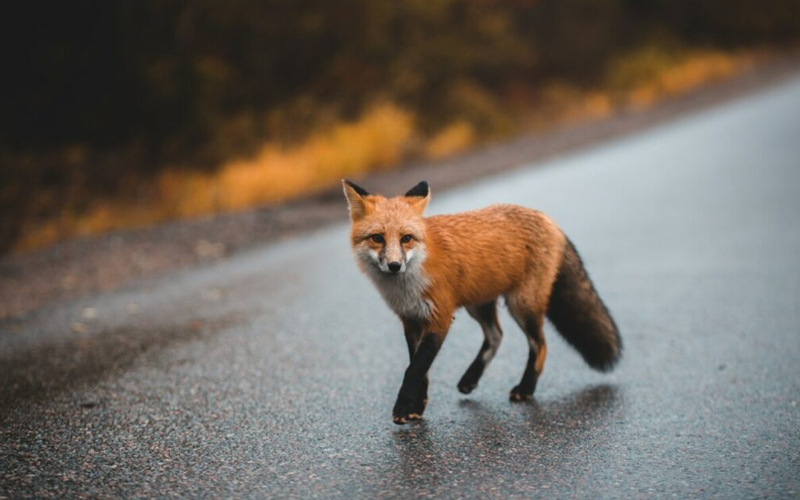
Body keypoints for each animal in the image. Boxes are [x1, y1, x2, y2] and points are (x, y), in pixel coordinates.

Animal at [340, 178, 620, 424]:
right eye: (377, 238)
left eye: (406, 238)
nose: (394, 265)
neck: (410, 281)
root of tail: (547, 219)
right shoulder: (411, 319)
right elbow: (420, 369)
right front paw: (417, 407)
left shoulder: (440, 318)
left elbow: (414, 369)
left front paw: (403, 408)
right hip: (479, 304)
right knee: (496, 336)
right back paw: (470, 379)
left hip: (521, 305)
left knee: (539, 345)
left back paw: (526, 388)